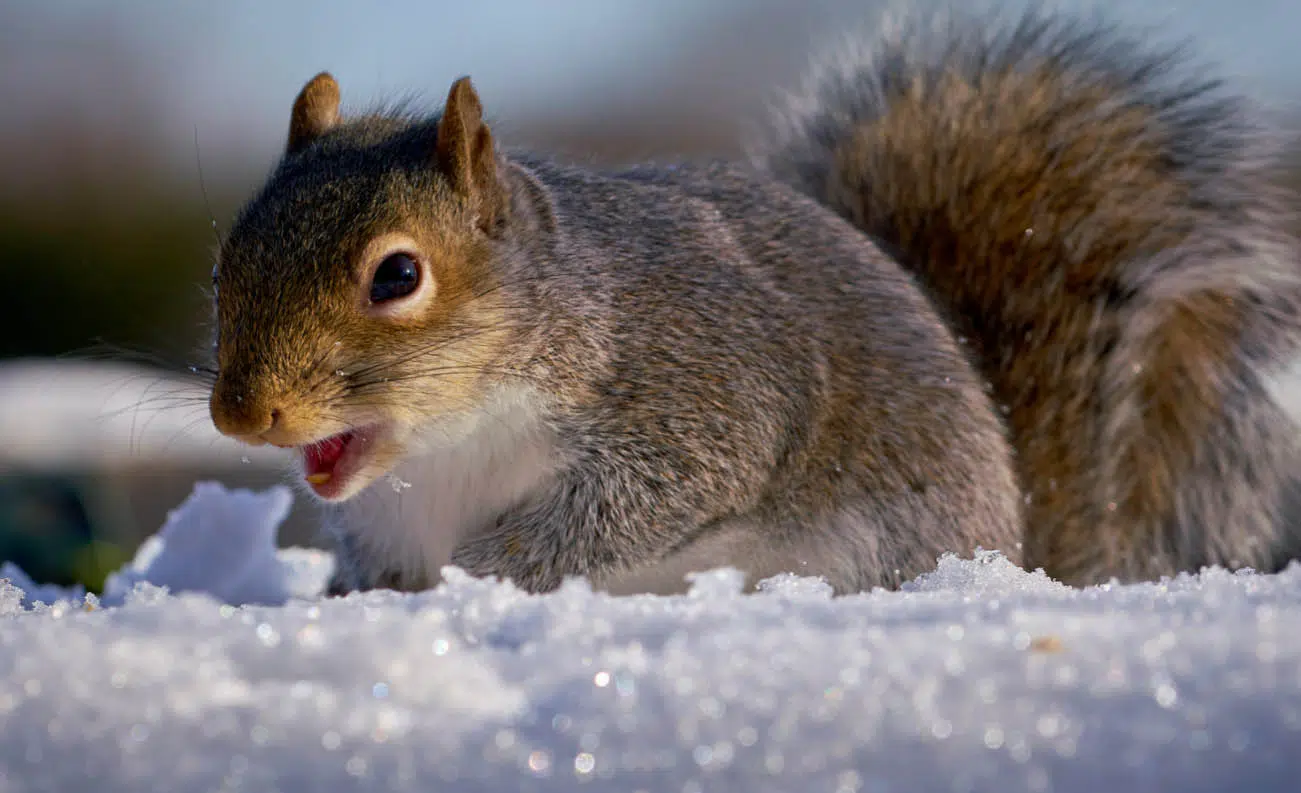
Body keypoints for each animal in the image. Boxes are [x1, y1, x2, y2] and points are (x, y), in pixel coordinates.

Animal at [207, 7, 1301, 595]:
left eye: (397, 275)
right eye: (229, 255)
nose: (241, 415)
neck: (444, 447)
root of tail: (1020, 550)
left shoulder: (695, 394)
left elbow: (652, 496)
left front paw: (490, 565)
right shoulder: (383, 522)